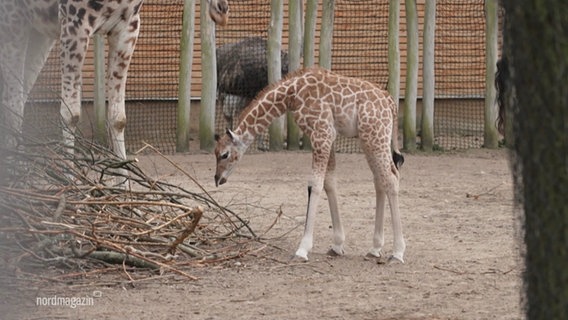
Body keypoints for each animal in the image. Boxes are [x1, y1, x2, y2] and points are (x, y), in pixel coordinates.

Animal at [1, 0, 229, 158]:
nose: (223, 9)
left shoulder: (127, 28)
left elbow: (118, 118)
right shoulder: (75, 25)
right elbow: (70, 114)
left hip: (39, 31)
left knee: (19, 100)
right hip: (14, 22)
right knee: (13, 104)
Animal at [212, 67, 404, 262]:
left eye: (224, 154)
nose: (217, 179)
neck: (291, 95)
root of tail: (391, 103)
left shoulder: (321, 133)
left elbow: (315, 185)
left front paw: (302, 249)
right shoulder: (327, 136)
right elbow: (329, 182)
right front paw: (337, 245)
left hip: (375, 136)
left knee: (391, 179)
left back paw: (397, 252)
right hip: (369, 138)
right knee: (381, 179)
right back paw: (375, 248)